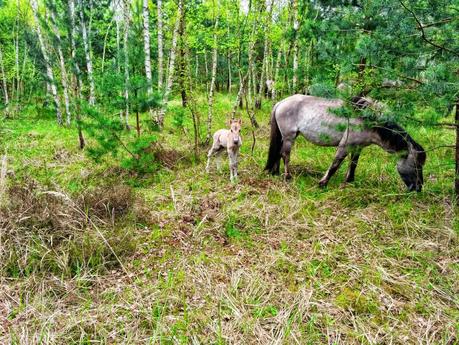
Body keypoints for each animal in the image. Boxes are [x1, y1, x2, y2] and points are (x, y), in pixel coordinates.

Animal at [266, 94, 428, 191]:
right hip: (289, 137)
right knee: (285, 155)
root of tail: (281, 102)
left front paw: (349, 181)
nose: (418, 188)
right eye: (416, 165)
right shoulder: (345, 145)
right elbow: (335, 164)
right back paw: (287, 177)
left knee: (279, 153)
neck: (367, 119)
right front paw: (323, 183)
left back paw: (276, 172)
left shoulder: (357, 147)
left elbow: (353, 164)